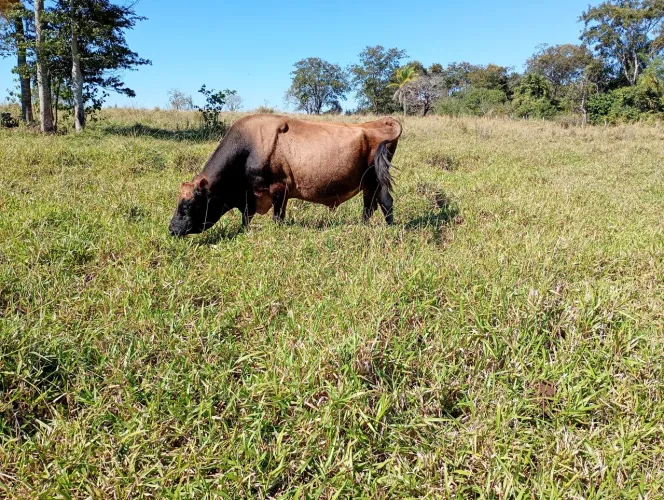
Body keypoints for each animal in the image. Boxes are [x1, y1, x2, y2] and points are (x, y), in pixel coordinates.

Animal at [168, 114, 402, 236]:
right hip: (372, 184)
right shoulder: (250, 198)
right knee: (376, 205)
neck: (250, 148)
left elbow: (277, 217)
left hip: (374, 181)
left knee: (381, 204)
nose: (171, 229)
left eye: (187, 206)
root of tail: (381, 122)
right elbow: (246, 218)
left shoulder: (278, 189)